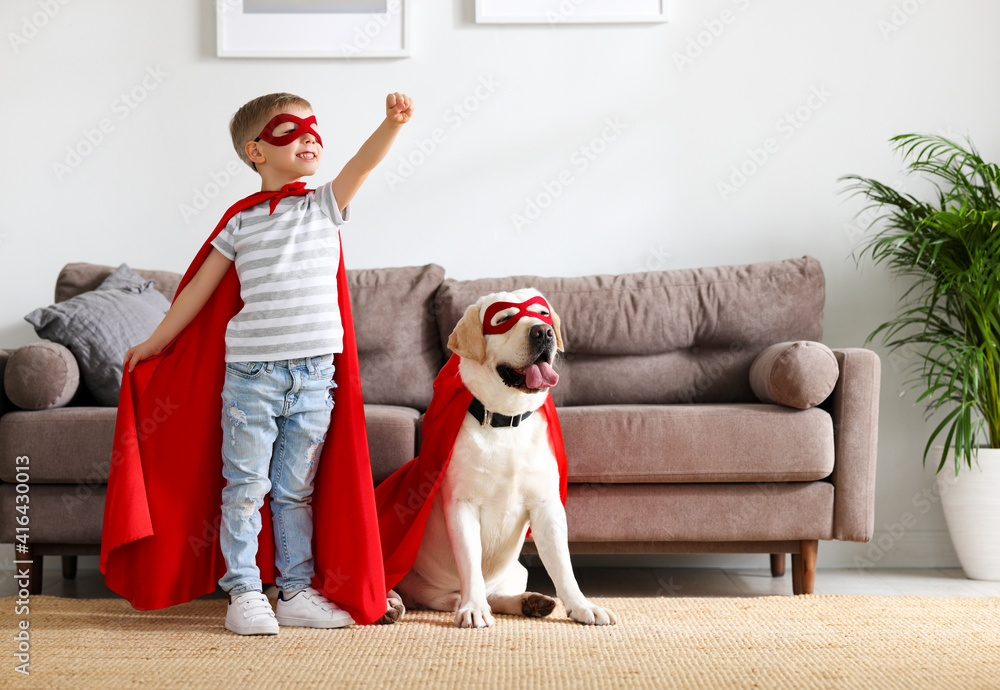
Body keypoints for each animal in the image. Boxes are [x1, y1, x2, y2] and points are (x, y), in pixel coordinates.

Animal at [392, 288, 616, 628]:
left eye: (542, 313)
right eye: (503, 319)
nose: (543, 332)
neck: (506, 419)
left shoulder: (547, 506)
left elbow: (563, 566)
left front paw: (581, 605)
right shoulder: (462, 505)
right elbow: (471, 563)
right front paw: (473, 608)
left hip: (515, 571)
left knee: (492, 595)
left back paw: (530, 602)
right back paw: (391, 605)